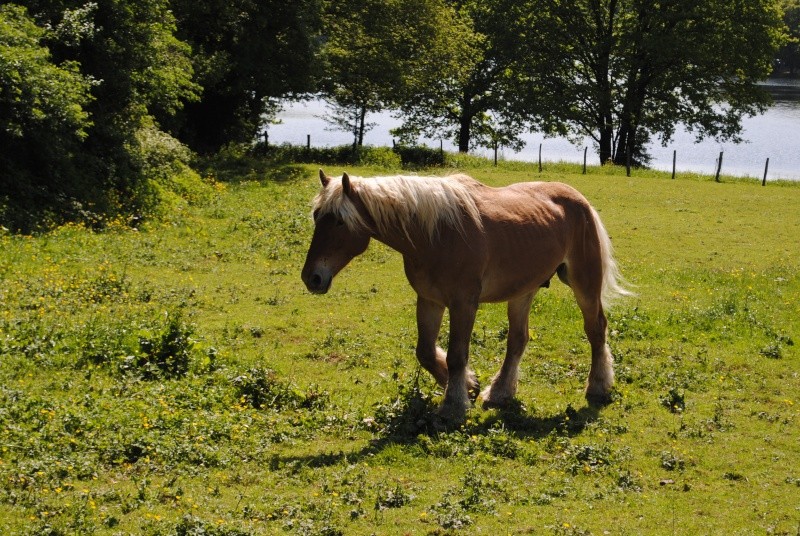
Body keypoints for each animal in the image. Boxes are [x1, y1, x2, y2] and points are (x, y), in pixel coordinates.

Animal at [302, 170, 632, 420]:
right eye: (317, 216)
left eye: (340, 220)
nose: (312, 278)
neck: (434, 234)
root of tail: (579, 200)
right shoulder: (430, 300)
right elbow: (425, 352)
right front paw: (470, 386)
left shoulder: (463, 304)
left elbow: (457, 355)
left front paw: (454, 404)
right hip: (523, 291)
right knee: (518, 340)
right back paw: (499, 392)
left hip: (584, 284)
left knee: (595, 329)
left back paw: (598, 386)